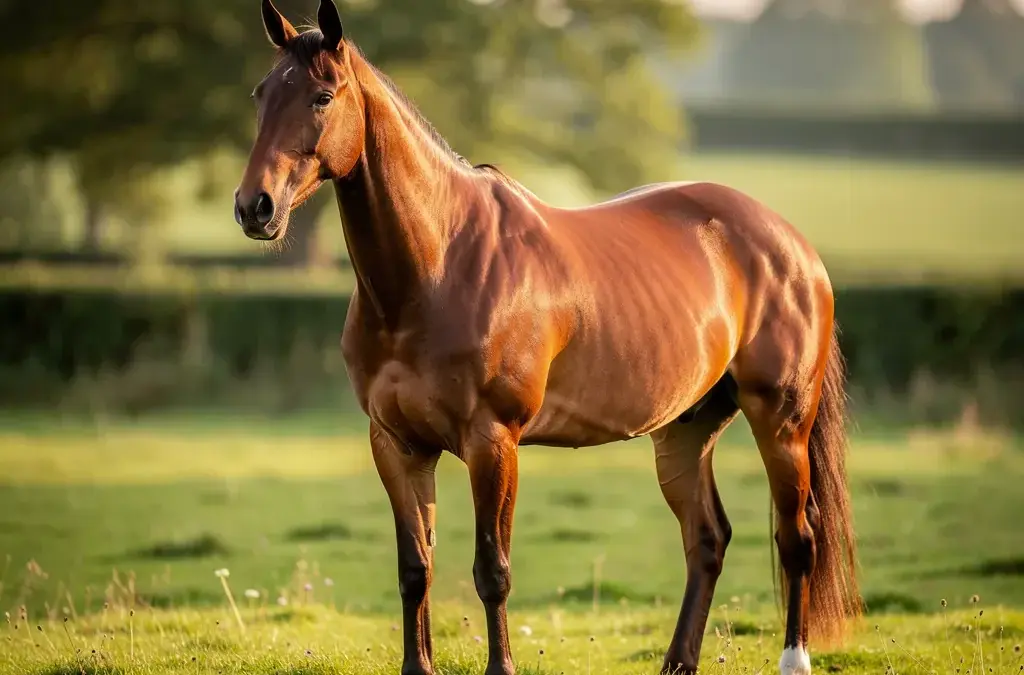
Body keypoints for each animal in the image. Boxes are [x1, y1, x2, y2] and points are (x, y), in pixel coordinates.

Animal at [233, 2, 862, 673]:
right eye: (262, 93)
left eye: (323, 96)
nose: (254, 207)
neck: (437, 264)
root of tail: (793, 244)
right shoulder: (397, 445)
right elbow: (415, 568)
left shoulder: (493, 440)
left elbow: (492, 570)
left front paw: (502, 664)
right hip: (686, 428)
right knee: (707, 539)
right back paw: (677, 662)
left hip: (781, 421)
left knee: (797, 538)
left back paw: (793, 658)